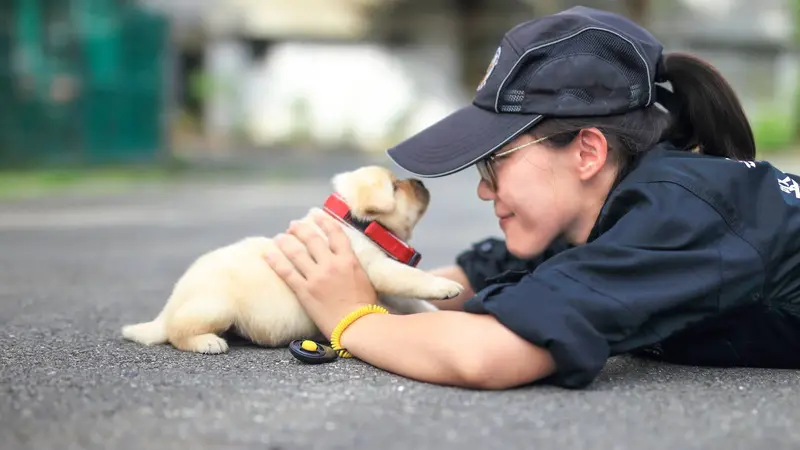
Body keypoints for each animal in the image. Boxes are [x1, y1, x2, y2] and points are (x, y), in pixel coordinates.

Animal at [122, 166, 466, 356]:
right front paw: (445, 286)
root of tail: (168, 308)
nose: (420, 182)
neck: (357, 223)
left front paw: (433, 310)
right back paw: (206, 342)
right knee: (178, 332)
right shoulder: (381, 270)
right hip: (215, 307)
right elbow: (412, 279)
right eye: (395, 187)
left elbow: (412, 300)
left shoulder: (386, 285)